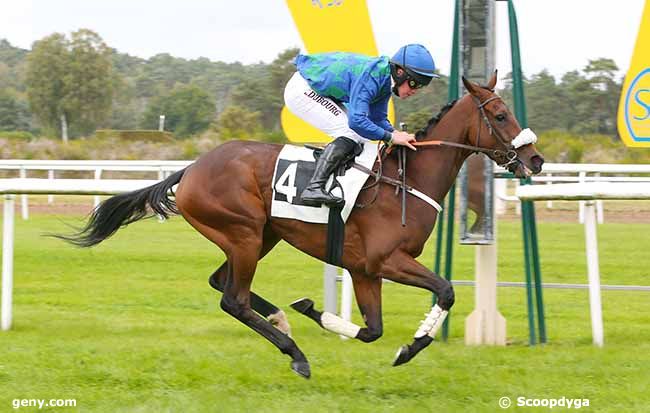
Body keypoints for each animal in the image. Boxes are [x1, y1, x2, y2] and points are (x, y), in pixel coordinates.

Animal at [58, 71, 540, 376]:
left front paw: (316, 311)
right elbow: (445, 290)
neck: (406, 180)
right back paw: (295, 353)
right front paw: (408, 348)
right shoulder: (386, 261)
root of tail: (191, 168)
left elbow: (373, 330)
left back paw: (280, 318)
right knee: (232, 299)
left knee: (221, 283)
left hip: (260, 237)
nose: (534, 159)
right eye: (500, 116)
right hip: (243, 234)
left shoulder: (364, 269)